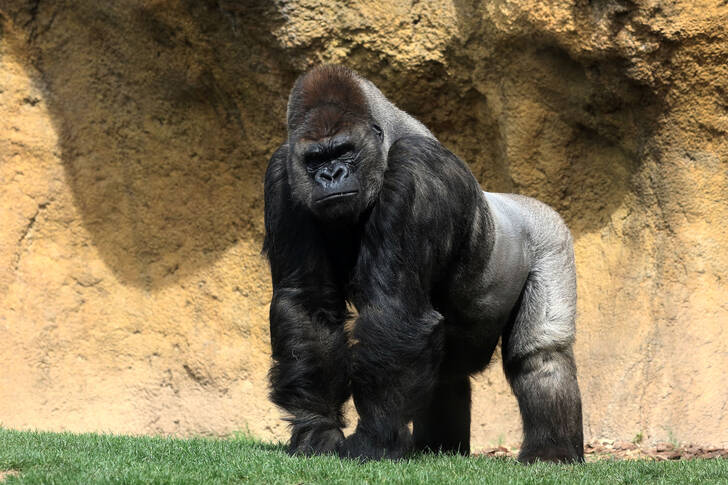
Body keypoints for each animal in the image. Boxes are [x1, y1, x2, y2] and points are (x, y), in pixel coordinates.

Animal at [262, 64, 583, 463]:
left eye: (344, 151)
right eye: (314, 159)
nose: (331, 175)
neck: (386, 139)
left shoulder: (418, 169)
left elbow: (396, 308)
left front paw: (375, 439)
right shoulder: (282, 174)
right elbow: (309, 306)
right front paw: (316, 429)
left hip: (552, 237)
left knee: (541, 353)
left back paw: (552, 451)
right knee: (448, 373)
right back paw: (440, 448)